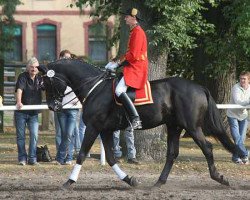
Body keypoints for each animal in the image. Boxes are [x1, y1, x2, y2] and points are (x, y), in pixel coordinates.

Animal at [39, 59, 236, 188]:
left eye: (46, 83)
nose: (52, 106)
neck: (95, 88)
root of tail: (199, 87)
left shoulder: (93, 128)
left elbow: (81, 154)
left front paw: (69, 181)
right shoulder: (105, 130)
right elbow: (110, 158)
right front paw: (129, 179)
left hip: (192, 127)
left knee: (207, 148)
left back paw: (219, 178)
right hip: (174, 126)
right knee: (172, 153)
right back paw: (159, 182)